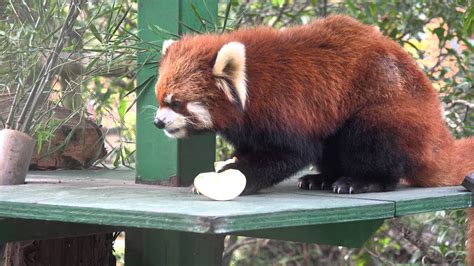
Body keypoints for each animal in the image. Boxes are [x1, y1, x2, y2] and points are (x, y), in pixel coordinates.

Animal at [155, 14, 474, 260]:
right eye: (160, 99)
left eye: (176, 103)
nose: (158, 122)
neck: (249, 85)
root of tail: (436, 128)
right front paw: (230, 164)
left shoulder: (285, 107)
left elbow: (290, 154)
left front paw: (237, 175)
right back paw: (322, 178)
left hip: (390, 111)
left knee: (373, 141)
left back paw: (363, 181)